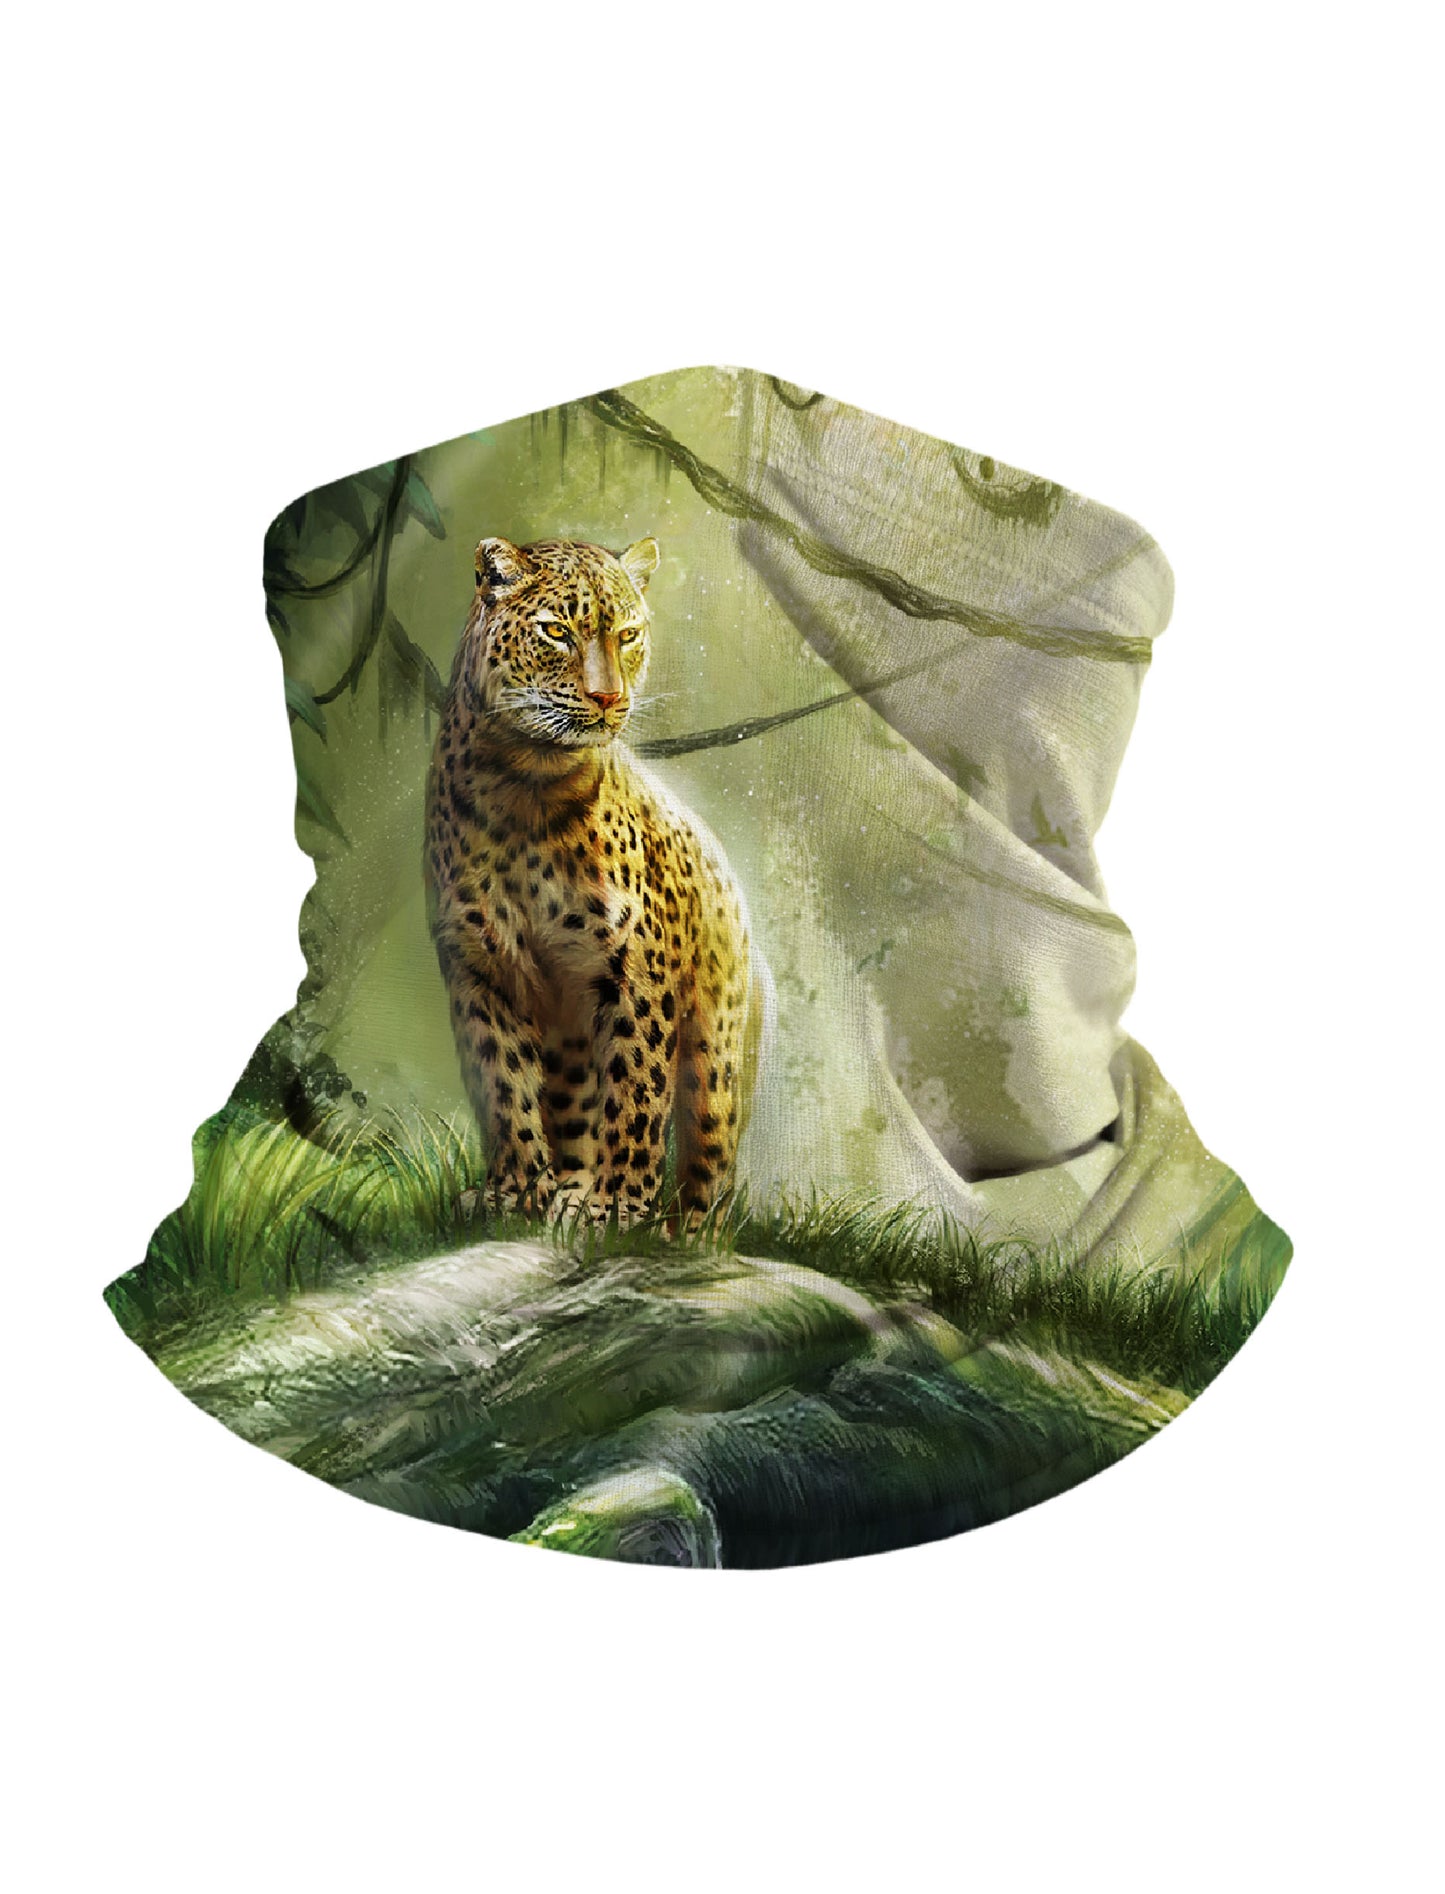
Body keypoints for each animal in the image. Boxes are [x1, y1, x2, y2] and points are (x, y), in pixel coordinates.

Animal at [424, 533, 767, 1228]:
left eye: (628, 635)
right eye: (556, 632)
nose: (608, 698)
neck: (523, 787)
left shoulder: (639, 968)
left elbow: (636, 1090)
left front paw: (617, 1210)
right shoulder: (479, 964)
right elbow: (503, 1082)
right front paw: (513, 1193)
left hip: (715, 1056)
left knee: (708, 1156)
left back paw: (683, 1227)